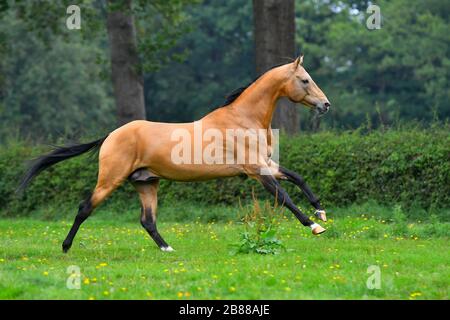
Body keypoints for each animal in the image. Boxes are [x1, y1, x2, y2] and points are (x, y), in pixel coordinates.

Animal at [20, 56, 330, 254]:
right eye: (305, 80)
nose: (325, 105)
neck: (244, 119)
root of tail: (110, 135)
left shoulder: (267, 164)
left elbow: (298, 178)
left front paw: (321, 211)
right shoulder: (256, 170)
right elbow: (284, 196)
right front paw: (314, 226)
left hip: (146, 183)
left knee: (147, 220)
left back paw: (168, 248)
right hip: (110, 180)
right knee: (85, 208)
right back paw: (65, 247)